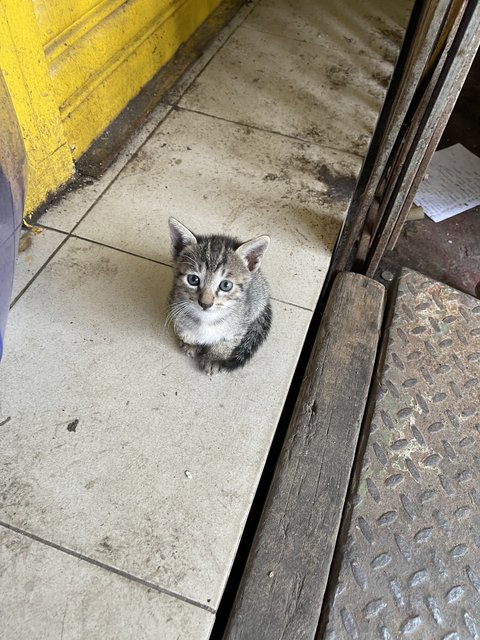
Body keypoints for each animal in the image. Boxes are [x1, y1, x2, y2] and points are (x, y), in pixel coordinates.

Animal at [168, 218, 274, 372]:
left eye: (226, 285)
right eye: (193, 279)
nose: (205, 303)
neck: (206, 319)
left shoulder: (240, 325)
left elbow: (227, 342)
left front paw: (214, 357)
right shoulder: (175, 304)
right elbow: (183, 330)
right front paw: (191, 343)